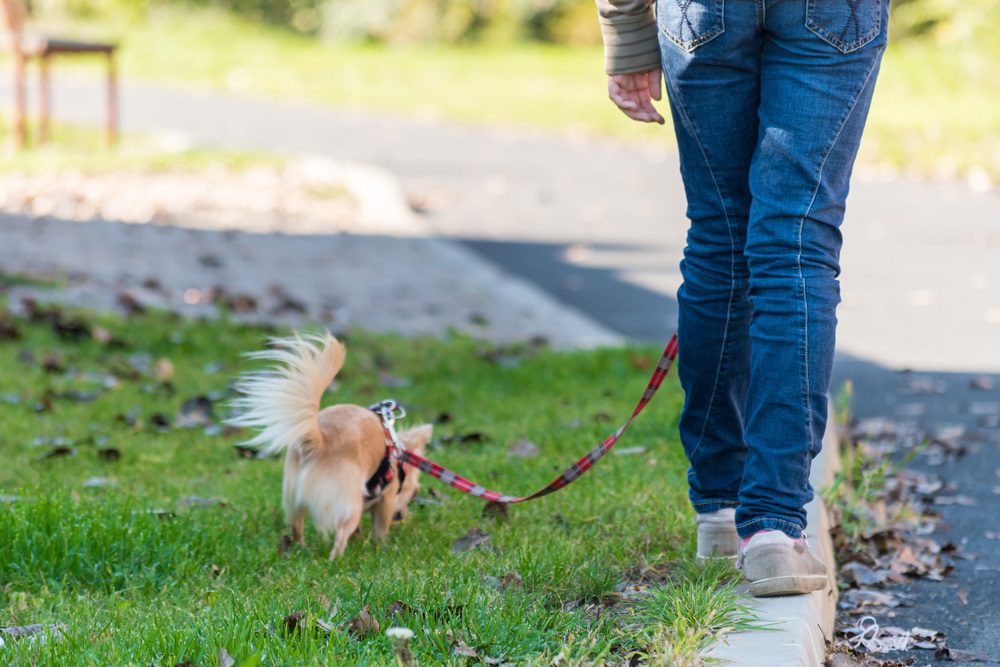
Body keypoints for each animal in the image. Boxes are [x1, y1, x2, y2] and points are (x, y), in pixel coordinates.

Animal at [229, 332, 432, 560]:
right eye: (412, 494)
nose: (402, 516)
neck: (397, 456)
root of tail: (319, 439)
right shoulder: (386, 498)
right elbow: (381, 527)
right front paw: (381, 545)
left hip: (294, 499)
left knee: (296, 526)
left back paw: (301, 549)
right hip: (350, 504)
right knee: (341, 534)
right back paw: (336, 560)